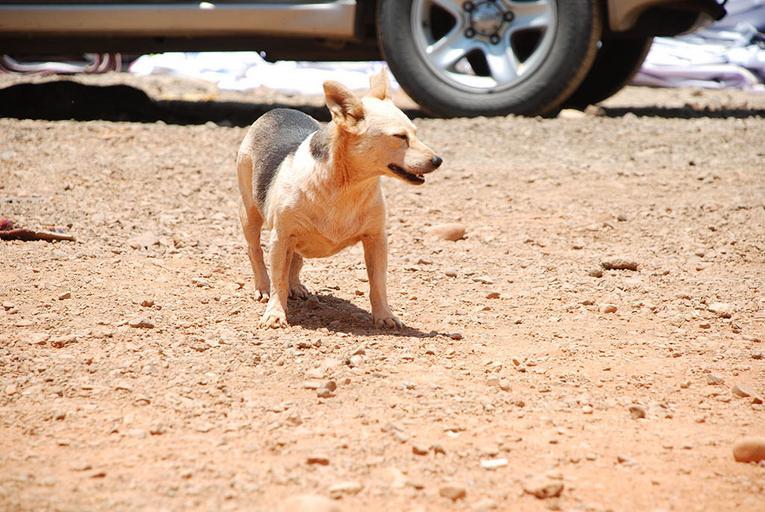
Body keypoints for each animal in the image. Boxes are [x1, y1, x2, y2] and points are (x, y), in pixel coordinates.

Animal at [236, 69, 442, 329]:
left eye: (415, 133)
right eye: (399, 136)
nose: (438, 160)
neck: (347, 186)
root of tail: (278, 110)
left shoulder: (376, 239)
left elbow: (378, 282)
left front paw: (384, 315)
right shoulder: (281, 237)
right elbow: (278, 279)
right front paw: (275, 313)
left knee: (294, 259)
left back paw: (296, 286)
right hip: (249, 212)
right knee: (255, 251)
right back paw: (263, 286)